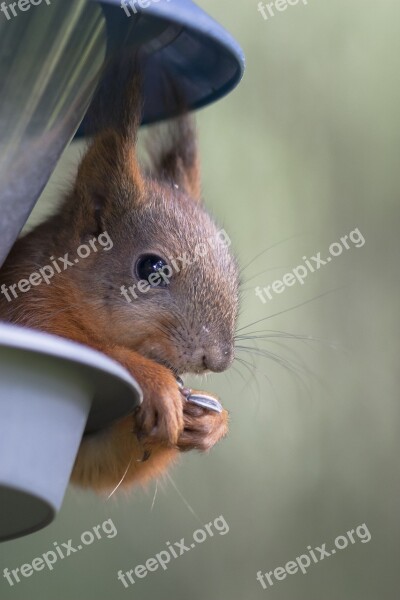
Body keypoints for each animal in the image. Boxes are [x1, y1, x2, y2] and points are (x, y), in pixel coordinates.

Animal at [0, 64, 239, 492]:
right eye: (151, 269)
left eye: (234, 271)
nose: (217, 359)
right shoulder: (23, 304)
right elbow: (91, 348)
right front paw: (155, 380)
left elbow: (100, 461)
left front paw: (212, 421)